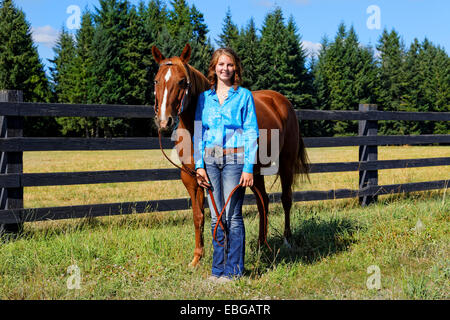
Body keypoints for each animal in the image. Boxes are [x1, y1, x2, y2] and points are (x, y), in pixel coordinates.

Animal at [152, 43, 310, 268]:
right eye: (157, 80)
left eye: (182, 81)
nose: (164, 122)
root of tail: (281, 102)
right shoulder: (192, 177)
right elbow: (199, 216)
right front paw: (197, 257)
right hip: (255, 173)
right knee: (263, 202)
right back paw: (262, 244)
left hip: (286, 164)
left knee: (286, 199)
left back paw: (287, 241)